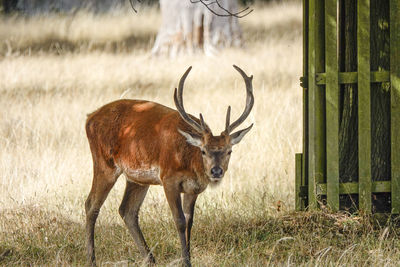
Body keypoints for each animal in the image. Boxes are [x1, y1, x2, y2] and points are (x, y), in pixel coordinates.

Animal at [85, 64, 255, 266]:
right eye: (203, 151)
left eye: (229, 151)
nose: (216, 171)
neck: (189, 161)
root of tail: (89, 118)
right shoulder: (168, 178)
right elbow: (179, 220)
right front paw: (185, 261)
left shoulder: (193, 189)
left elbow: (190, 221)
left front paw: (188, 258)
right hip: (104, 163)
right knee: (91, 205)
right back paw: (91, 259)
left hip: (137, 178)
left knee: (127, 210)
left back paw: (150, 259)